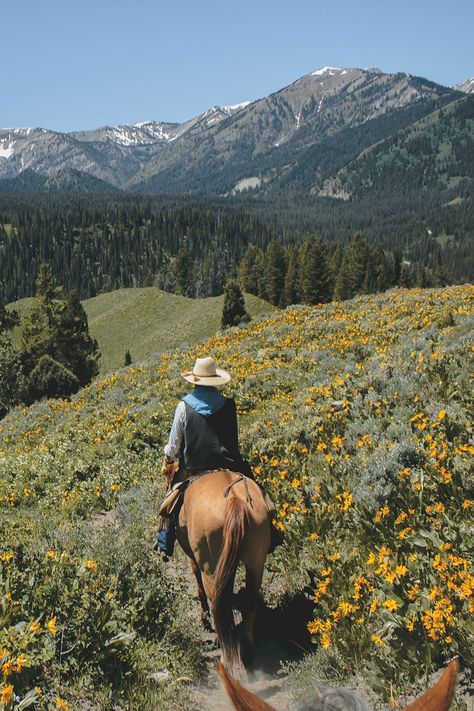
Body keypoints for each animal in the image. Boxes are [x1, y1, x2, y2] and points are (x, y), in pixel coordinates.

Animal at [175, 470, 272, 676]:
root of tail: (234, 500)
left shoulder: (196, 560)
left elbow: (200, 587)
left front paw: (204, 621)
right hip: (256, 561)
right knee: (249, 600)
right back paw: (246, 651)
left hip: (210, 565)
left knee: (219, 604)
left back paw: (227, 656)